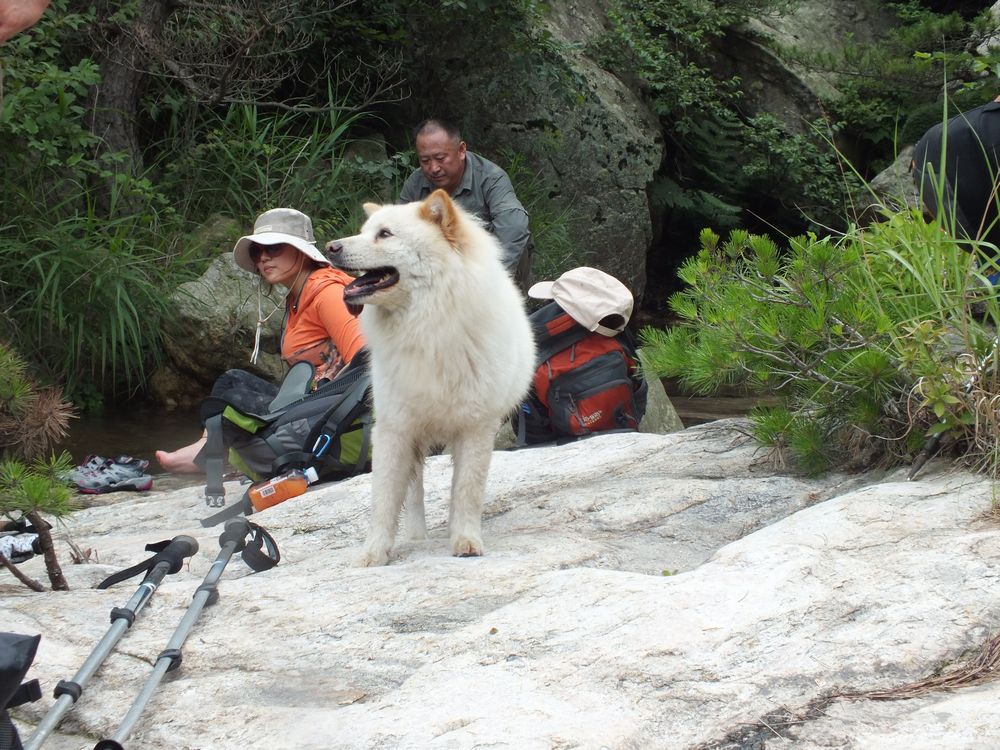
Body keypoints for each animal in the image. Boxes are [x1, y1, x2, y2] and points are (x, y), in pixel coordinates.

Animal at [326, 191, 532, 568]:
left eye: (385, 234)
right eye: (363, 231)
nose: (331, 247)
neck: (428, 327)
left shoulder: (476, 429)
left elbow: (465, 491)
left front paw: (465, 540)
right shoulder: (394, 429)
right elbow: (384, 498)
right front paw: (374, 552)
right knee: (415, 490)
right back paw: (416, 536)